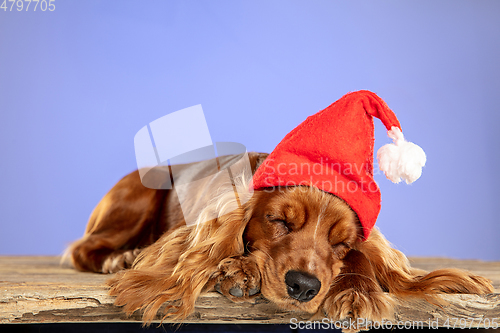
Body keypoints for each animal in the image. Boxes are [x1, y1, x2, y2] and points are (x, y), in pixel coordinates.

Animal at [68, 152, 494, 328]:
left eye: (341, 243)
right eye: (279, 222)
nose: (303, 287)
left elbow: (361, 261)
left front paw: (358, 291)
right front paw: (240, 269)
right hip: (138, 194)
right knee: (82, 248)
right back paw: (122, 257)